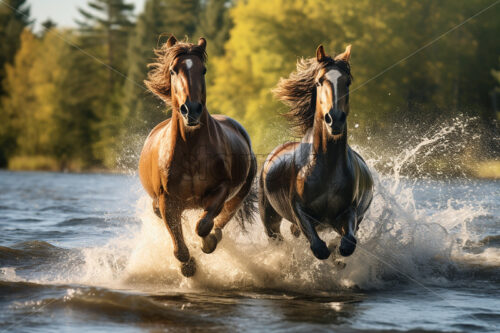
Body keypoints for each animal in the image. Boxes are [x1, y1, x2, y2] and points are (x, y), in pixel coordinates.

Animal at [139, 35, 256, 278]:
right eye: (173, 70)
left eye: (203, 70)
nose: (191, 109)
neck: (190, 148)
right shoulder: (167, 201)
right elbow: (179, 246)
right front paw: (189, 266)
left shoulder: (221, 189)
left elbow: (203, 226)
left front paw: (206, 244)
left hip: (239, 194)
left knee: (222, 219)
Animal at [260, 43, 374, 260]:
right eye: (320, 81)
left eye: (347, 82)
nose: (335, 119)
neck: (326, 166)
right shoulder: (299, 211)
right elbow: (319, 248)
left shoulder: (349, 212)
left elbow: (347, 244)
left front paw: (337, 257)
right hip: (269, 217)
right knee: (277, 236)